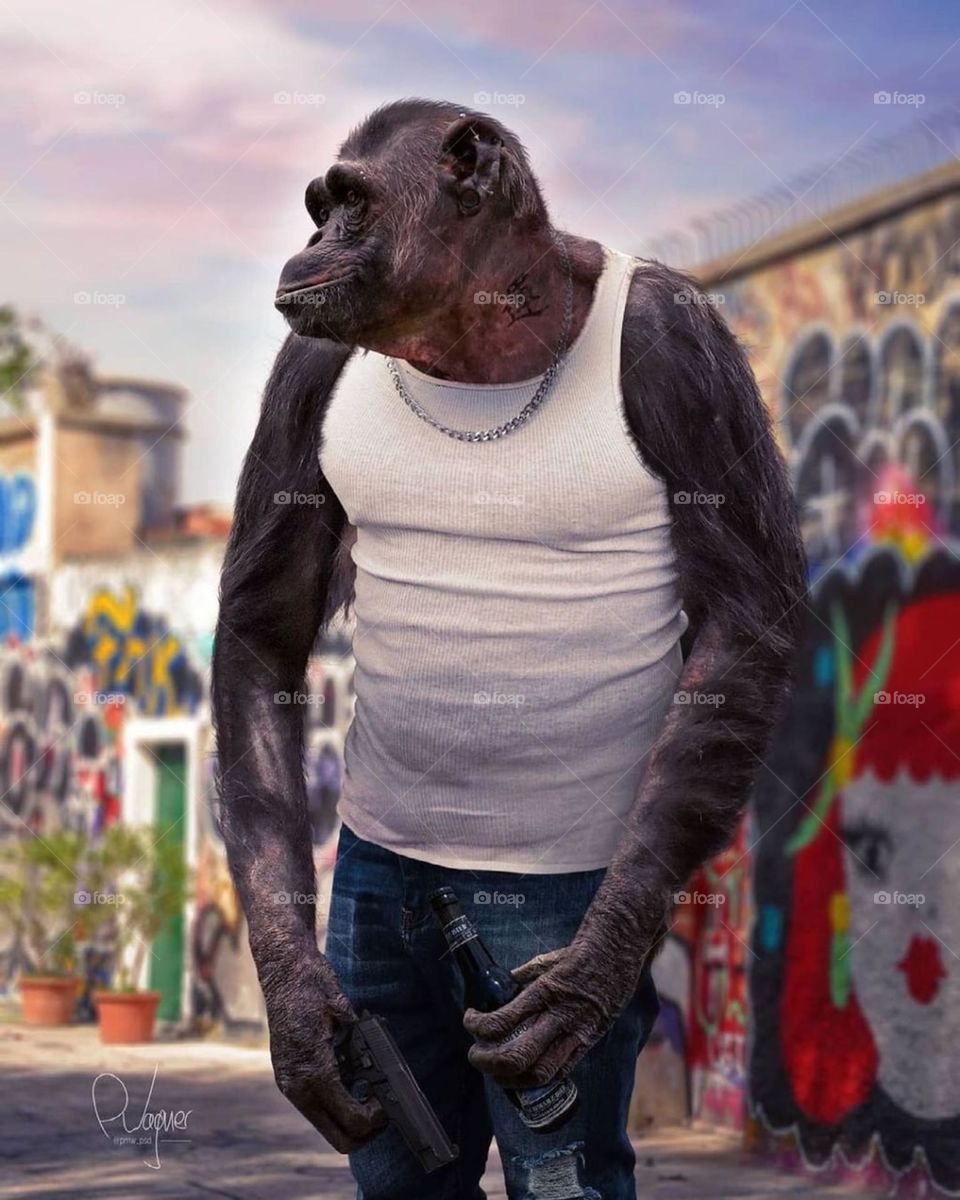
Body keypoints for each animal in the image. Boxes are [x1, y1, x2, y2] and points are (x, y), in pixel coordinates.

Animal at [213, 98, 805, 1199]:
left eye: (349, 202)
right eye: (321, 205)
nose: (315, 238)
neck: (477, 339)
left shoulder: (684, 343)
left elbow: (745, 618)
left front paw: (582, 984)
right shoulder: (301, 374)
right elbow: (265, 623)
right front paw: (302, 1012)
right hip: (380, 928)